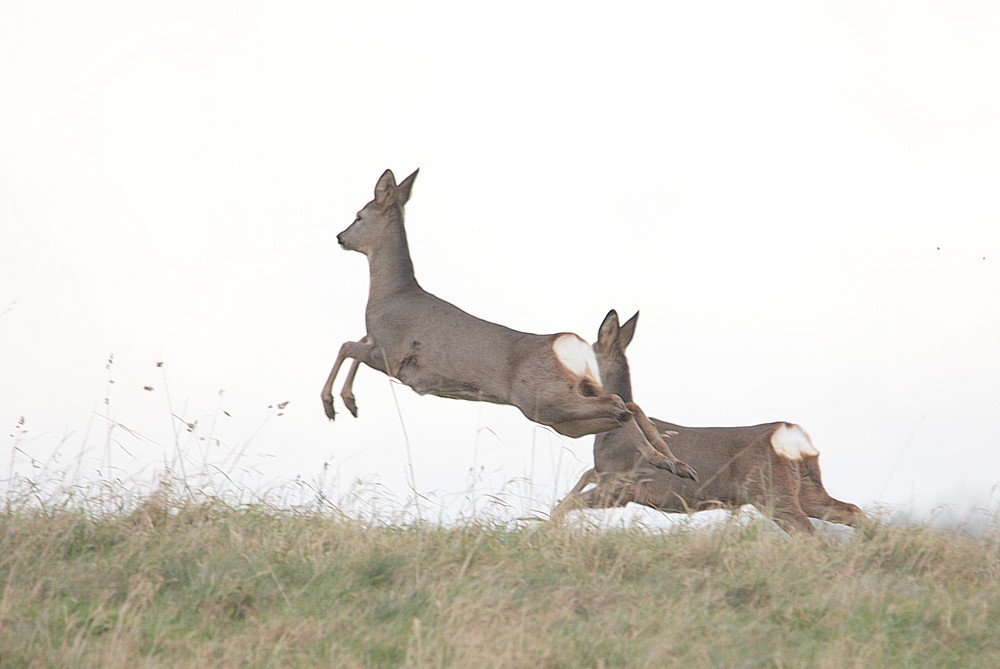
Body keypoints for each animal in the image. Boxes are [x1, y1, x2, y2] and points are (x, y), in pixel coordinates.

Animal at [320, 170, 696, 478]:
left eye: (358, 216)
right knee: (627, 405)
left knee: (620, 404)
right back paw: (675, 464)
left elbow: (346, 346)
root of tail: (571, 345)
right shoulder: (380, 347)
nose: (339, 236)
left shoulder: (392, 355)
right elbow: (353, 343)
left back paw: (668, 462)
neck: (390, 294)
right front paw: (348, 403)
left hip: (543, 400)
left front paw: (336, 404)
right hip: (564, 414)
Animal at [552, 310, 864, 536]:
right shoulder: (607, 478)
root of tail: (794, 439)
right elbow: (576, 486)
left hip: (773, 491)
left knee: (811, 535)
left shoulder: (621, 484)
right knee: (851, 511)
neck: (610, 436)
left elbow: (568, 503)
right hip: (806, 488)